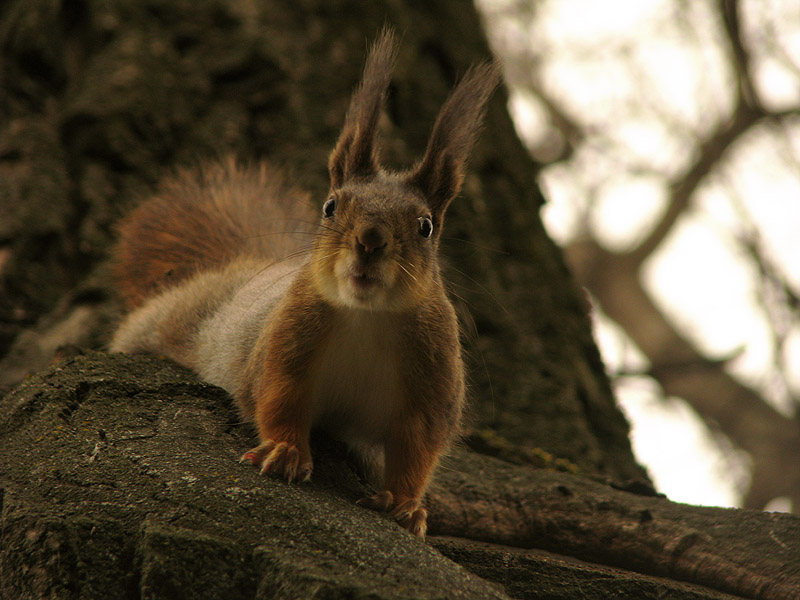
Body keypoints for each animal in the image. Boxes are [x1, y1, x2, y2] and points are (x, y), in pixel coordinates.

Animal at [109, 29, 496, 540]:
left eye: (426, 226)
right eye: (331, 206)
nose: (370, 241)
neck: (367, 316)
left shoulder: (432, 385)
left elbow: (418, 451)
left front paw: (406, 505)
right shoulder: (286, 343)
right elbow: (278, 399)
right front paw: (286, 452)